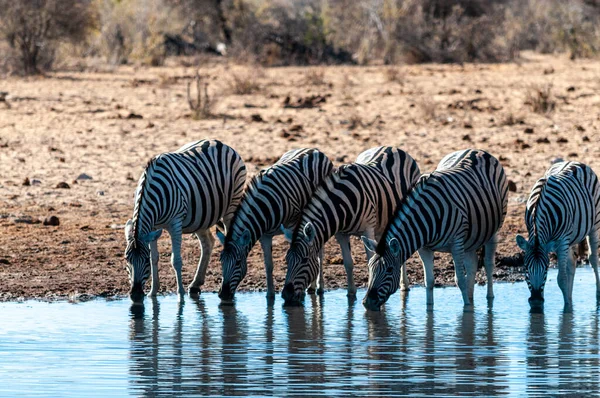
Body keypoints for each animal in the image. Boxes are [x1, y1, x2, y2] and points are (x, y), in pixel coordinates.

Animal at [124, 139, 246, 302]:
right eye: (127, 259)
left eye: (143, 261)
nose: (136, 295)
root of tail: (219, 142)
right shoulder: (152, 228)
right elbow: (155, 257)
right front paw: (153, 292)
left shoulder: (175, 223)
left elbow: (175, 260)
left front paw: (180, 295)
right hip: (202, 215)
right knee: (208, 243)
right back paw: (195, 285)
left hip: (232, 204)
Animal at [218, 148, 336, 300]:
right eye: (221, 261)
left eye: (238, 262)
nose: (223, 294)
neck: (263, 206)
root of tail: (315, 150)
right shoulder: (265, 235)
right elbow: (269, 265)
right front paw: (270, 296)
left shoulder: (292, 225)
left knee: (320, 252)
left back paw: (317, 287)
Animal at [282, 146, 420, 304]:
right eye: (287, 260)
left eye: (304, 261)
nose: (286, 295)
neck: (341, 203)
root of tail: (391, 147)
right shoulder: (341, 234)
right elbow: (348, 263)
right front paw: (351, 293)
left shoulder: (367, 230)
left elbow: (370, 260)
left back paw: (405, 285)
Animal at [360, 149, 506, 310]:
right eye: (369, 268)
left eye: (390, 270)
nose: (367, 303)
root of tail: (476, 150)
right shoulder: (424, 248)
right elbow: (429, 281)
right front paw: (429, 309)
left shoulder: (456, 243)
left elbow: (460, 279)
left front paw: (467, 309)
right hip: (471, 238)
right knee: (472, 262)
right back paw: (471, 296)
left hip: (493, 230)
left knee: (488, 264)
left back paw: (488, 298)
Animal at [516, 161, 600, 308]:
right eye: (525, 268)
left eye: (546, 269)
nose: (536, 299)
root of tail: (574, 162)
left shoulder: (562, 240)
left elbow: (561, 278)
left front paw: (567, 308)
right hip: (572, 237)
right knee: (571, 264)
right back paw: (570, 297)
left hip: (594, 224)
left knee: (593, 259)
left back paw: (597, 295)